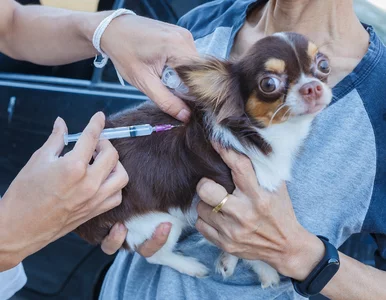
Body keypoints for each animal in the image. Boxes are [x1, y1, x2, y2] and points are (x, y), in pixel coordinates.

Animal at [74, 31, 332, 288]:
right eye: (269, 84)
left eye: (324, 65)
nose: (313, 87)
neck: (255, 133)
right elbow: (250, 249)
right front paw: (267, 271)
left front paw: (228, 261)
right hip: (157, 222)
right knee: (155, 255)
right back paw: (192, 266)